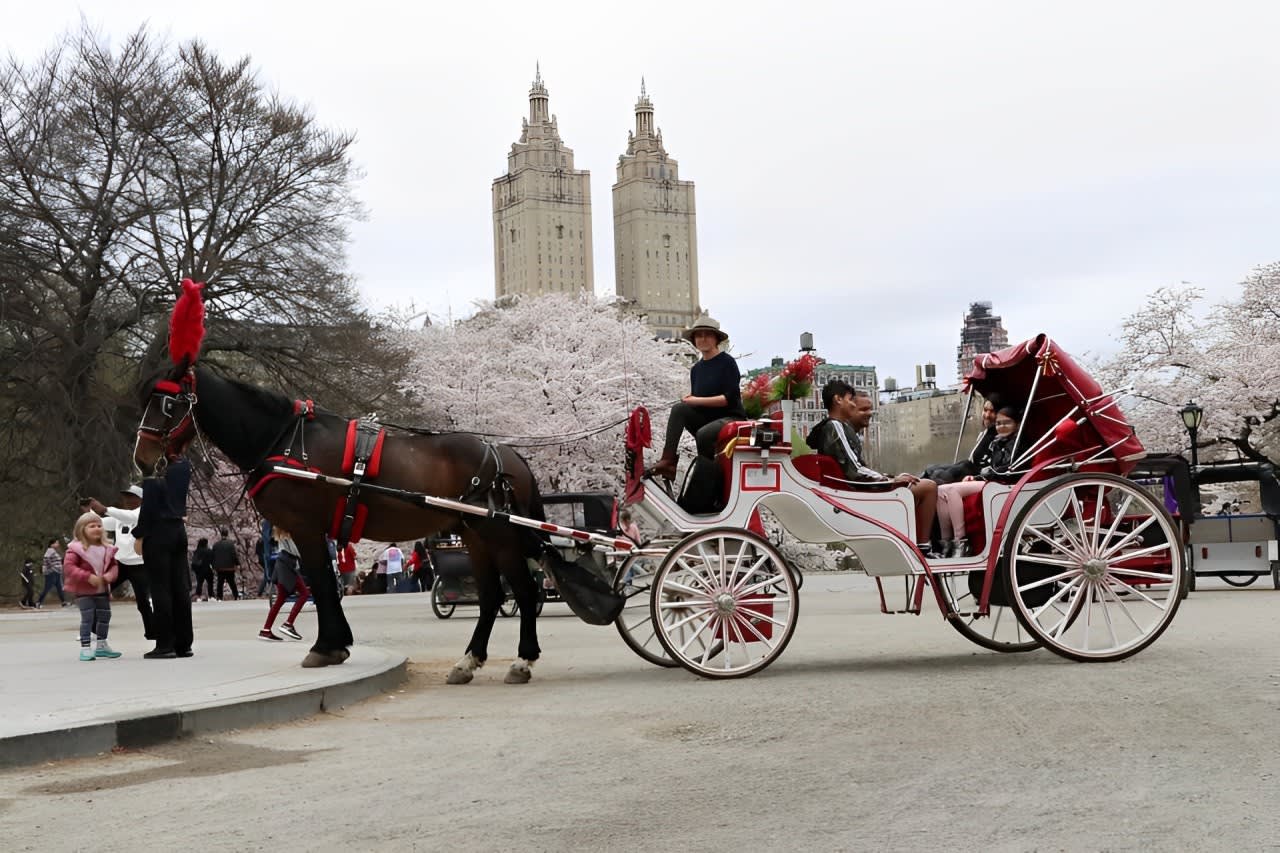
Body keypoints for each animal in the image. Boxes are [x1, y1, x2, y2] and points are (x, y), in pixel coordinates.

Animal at [133, 363, 547, 684]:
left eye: (167, 404)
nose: (142, 458)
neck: (284, 442)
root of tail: (507, 452)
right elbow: (324, 585)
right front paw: (335, 643)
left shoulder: (306, 528)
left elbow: (321, 584)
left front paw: (327, 646)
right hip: (475, 535)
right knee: (492, 597)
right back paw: (468, 661)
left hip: (499, 534)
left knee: (525, 591)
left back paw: (523, 660)